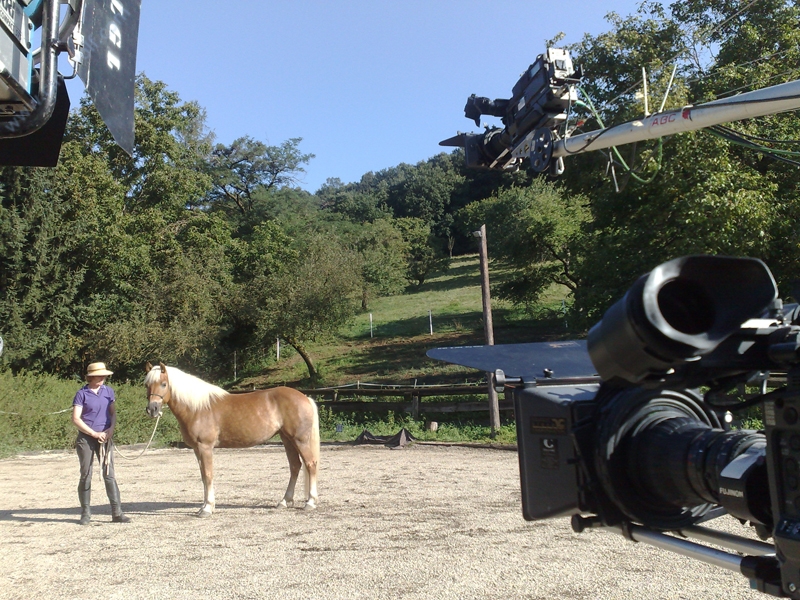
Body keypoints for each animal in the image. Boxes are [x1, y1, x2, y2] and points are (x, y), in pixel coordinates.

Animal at [144, 362, 320, 517]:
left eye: (164, 384)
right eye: (147, 385)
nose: (152, 409)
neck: (198, 408)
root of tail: (305, 398)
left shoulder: (205, 447)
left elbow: (208, 475)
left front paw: (207, 509)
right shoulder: (196, 449)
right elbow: (203, 477)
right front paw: (203, 507)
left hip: (299, 440)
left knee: (310, 464)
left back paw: (310, 502)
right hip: (287, 439)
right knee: (295, 466)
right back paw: (284, 501)